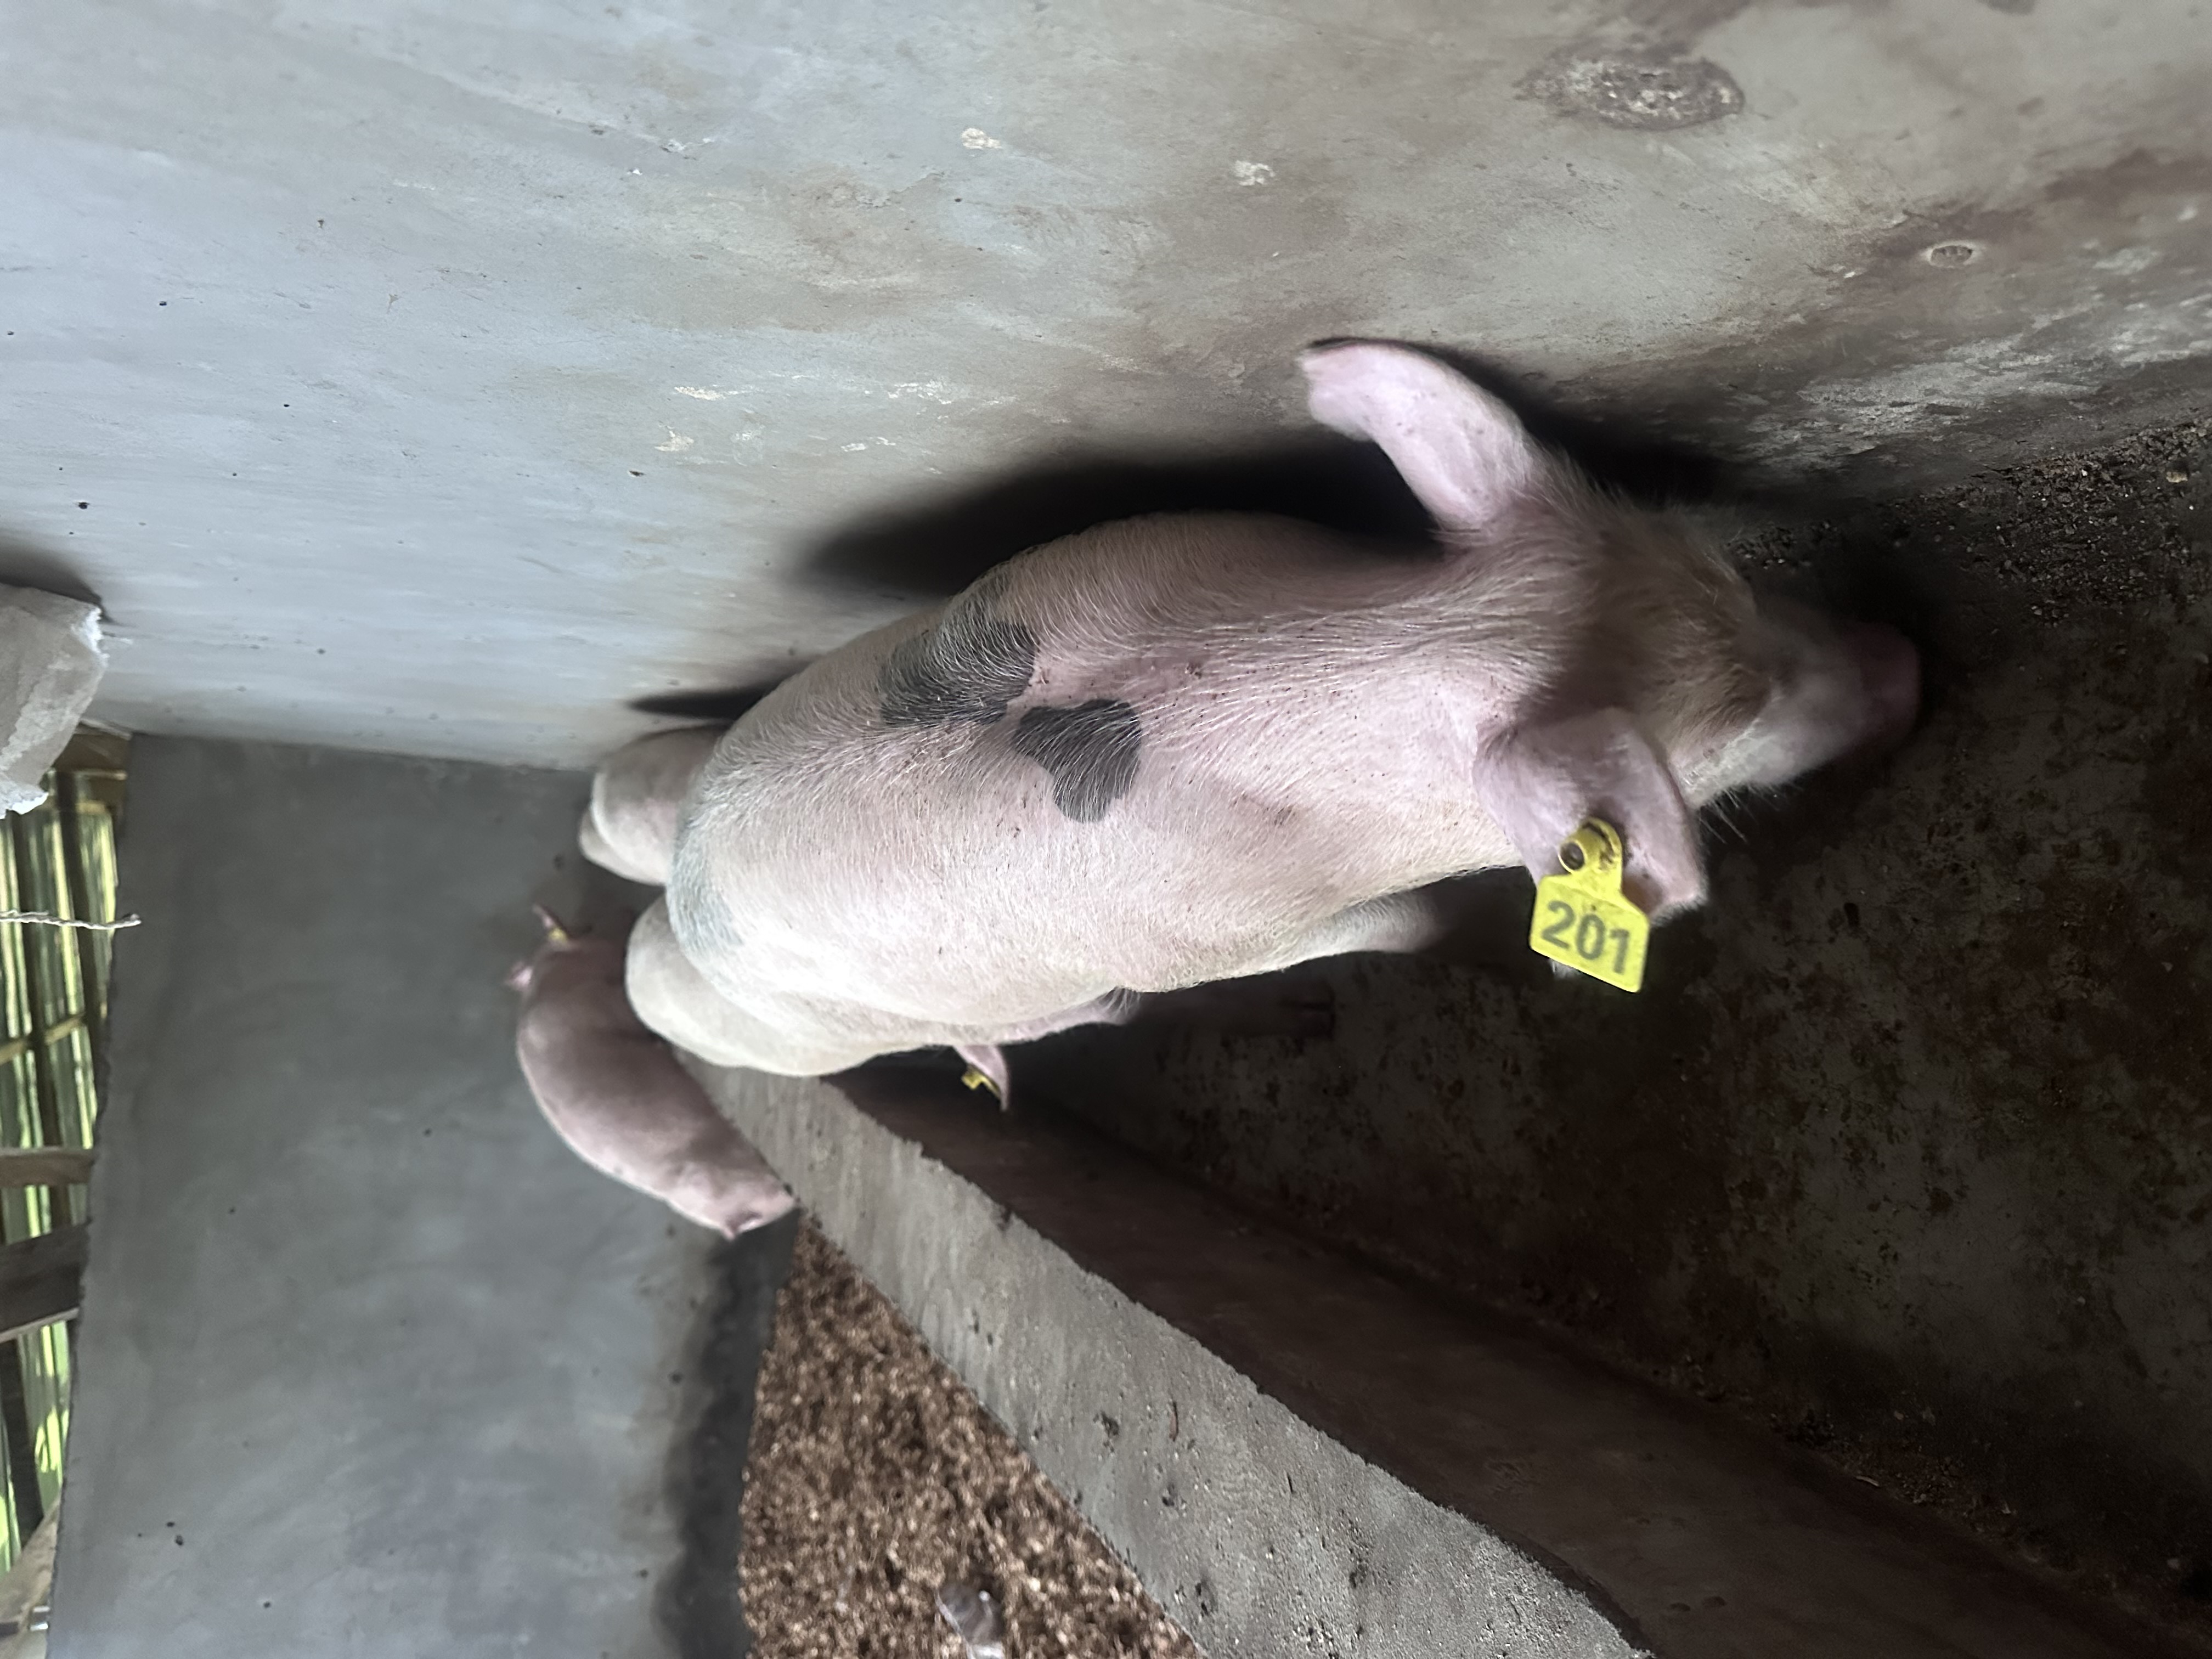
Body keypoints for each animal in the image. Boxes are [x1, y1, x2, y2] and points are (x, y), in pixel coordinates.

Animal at [610, 342, 1917, 1097]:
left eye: (1731, 575)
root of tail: (678, 904)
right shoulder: (1223, 934)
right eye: (1721, 750)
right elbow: (1408, 924)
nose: (1909, 660)